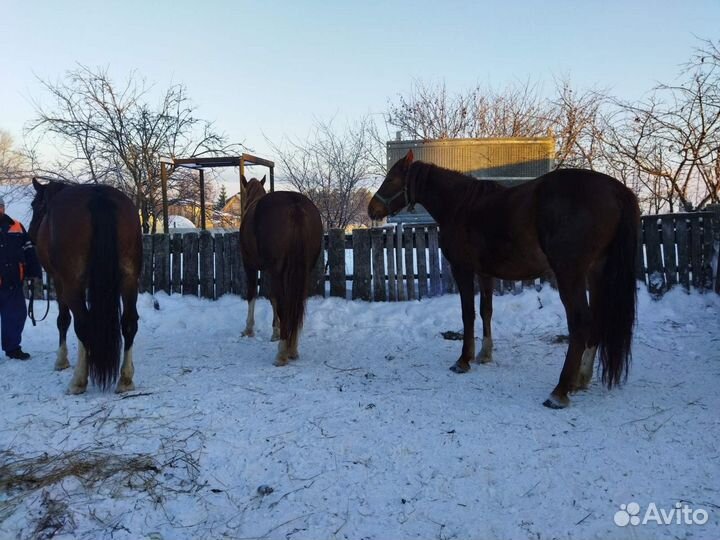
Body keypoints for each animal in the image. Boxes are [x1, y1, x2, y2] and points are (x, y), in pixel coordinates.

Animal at [28, 178, 142, 394]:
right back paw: (125, 379)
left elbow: (64, 320)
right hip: (130, 280)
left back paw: (78, 381)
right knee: (129, 322)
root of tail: (98, 196)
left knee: (83, 323)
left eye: (35, 205)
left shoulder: (60, 281)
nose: (30, 234)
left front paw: (62, 361)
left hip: (71, 284)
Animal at [239, 176, 323, 365]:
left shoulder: (250, 264)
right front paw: (275, 331)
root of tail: (295, 204)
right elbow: (273, 298)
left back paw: (282, 352)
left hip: (277, 270)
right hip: (303, 270)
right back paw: (293, 347)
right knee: (296, 303)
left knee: (285, 304)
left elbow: (253, 294)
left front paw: (249, 329)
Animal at [368, 151, 640, 408]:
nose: (372, 209)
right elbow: (485, 310)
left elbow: (468, 313)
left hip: (569, 274)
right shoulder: (485, 273)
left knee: (581, 321)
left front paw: (463, 360)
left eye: (391, 179)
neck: (460, 206)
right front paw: (484, 354)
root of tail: (615, 190)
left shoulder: (462, 269)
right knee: (597, 319)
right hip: (596, 272)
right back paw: (581, 378)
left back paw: (559, 391)